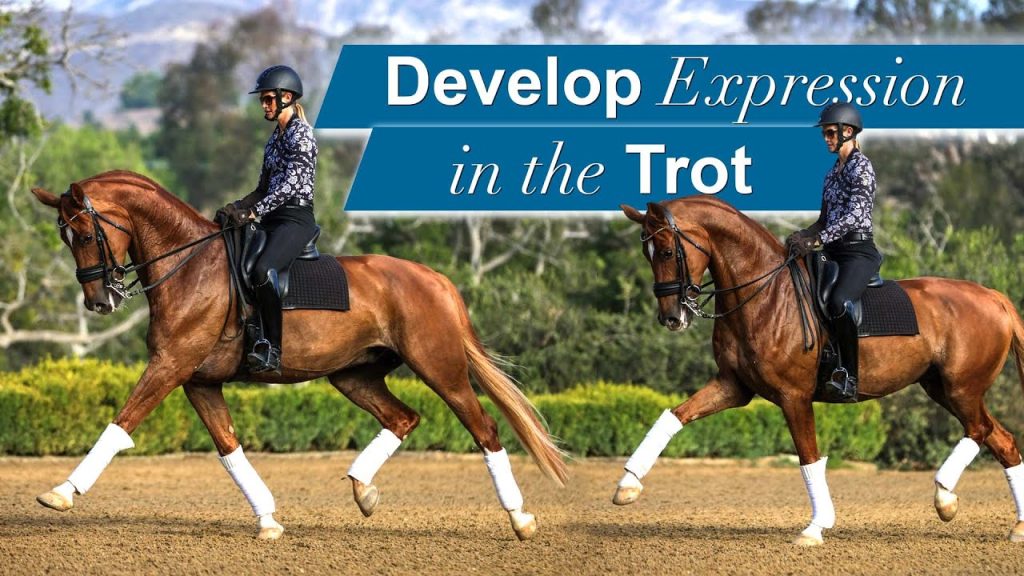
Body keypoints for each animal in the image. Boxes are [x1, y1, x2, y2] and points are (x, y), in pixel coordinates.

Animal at [29, 170, 567, 541]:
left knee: (485, 430)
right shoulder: (198, 380)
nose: (100, 302)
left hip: (441, 369)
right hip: (354, 376)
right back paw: (363, 490)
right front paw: (268, 519)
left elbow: (121, 424)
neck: (189, 266)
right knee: (403, 418)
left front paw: (61, 493)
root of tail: (434, 278)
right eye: (64, 237)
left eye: (83, 235)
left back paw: (520, 518)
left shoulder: (169, 366)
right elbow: (229, 449)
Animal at [613, 197, 1024, 546]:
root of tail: (993, 297)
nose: (671, 318)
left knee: (980, 431)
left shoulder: (793, 397)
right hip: (943, 388)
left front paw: (815, 528)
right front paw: (627, 485)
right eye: (647, 254)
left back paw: (944, 498)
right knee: (1002, 440)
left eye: (668, 251)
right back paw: (1016, 528)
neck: (765, 295)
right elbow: (675, 416)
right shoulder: (733, 387)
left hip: (960, 388)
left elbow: (809, 459)